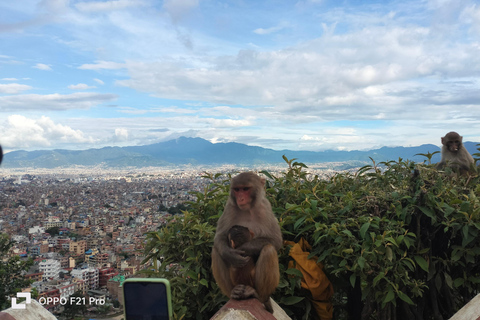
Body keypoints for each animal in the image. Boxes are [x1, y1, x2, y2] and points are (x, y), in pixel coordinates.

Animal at [212, 172, 284, 312]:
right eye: (237, 189)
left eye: (245, 189)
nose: (240, 198)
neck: (248, 209)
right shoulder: (229, 207)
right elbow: (219, 237)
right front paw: (231, 254)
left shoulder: (265, 207)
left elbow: (275, 240)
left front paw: (244, 249)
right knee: (216, 250)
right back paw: (233, 292)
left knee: (268, 249)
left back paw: (258, 295)